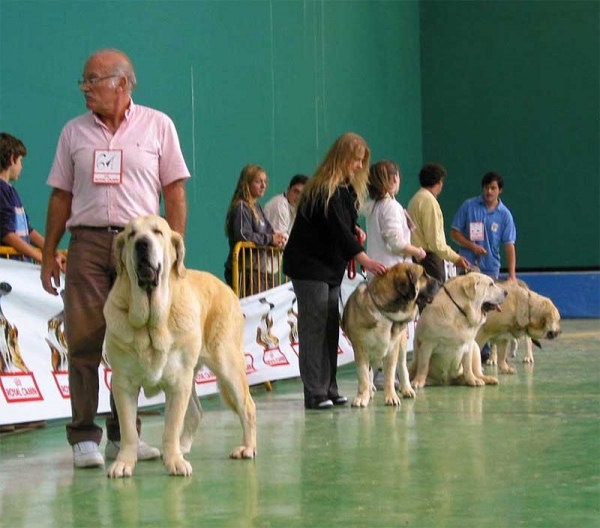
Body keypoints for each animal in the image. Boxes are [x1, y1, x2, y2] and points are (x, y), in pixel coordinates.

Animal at [104, 214, 256, 478]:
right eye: (131, 234)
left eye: (157, 232)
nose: (142, 244)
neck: (151, 322)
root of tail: (226, 287)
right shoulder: (123, 384)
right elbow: (129, 430)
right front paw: (124, 463)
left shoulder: (177, 382)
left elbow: (171, 426)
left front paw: (174, 461)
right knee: (195, 413)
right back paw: (182, 447)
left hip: (227, 364)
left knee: (246, 405)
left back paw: (246, 448)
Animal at [342, 262, 440, 406]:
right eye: (423, 275)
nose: (439, 282)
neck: (384, 311)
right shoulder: (360, 349)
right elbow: (363, 375)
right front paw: (363, 396)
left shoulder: (392, 348)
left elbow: (389, 374)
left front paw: (391, 397)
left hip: (402, 344)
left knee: (402, 366)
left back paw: (406, 389)